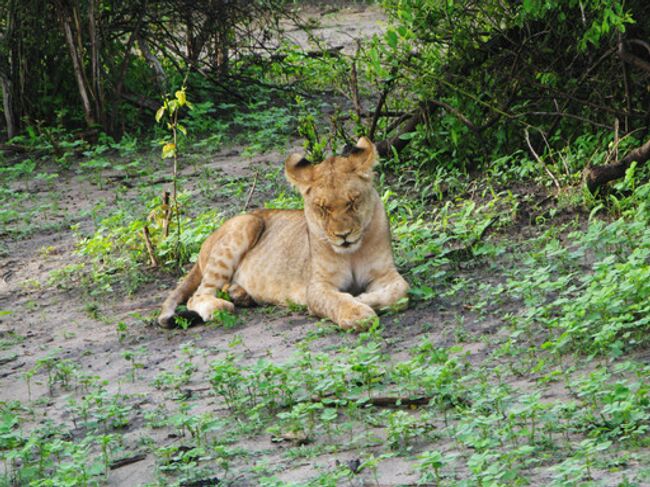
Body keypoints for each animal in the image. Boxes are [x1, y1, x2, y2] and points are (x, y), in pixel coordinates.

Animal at [158, 138, 408, 332]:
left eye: (353, 202)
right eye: (322, 208)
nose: (343, 236)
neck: (352, 253)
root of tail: (206, 242)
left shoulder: (385, 273)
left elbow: (401, 290)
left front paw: (363, 299)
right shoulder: (316, 286)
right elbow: (336, 300)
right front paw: (358, 313)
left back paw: (241, 295)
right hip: (247, 223)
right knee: (197, 295)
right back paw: (219, 307)